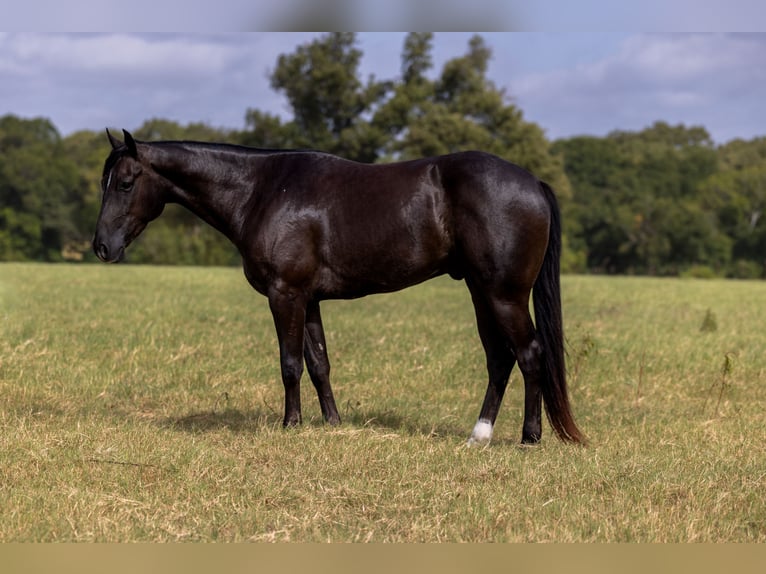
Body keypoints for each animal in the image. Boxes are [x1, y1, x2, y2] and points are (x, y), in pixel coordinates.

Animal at [93, 129, 584, 446]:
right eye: (104, 182)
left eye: (125, 182)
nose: (102, 246)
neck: (261, 191)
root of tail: (533, 183)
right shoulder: (309, 299)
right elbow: (319, 364)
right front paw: (332, 423)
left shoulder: (286, 294)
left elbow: (290, 363)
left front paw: (291, 425)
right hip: (482, 293)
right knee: (500, 359)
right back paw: (478, 435)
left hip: (503, 295)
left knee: (529, 354)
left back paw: (529, 437)